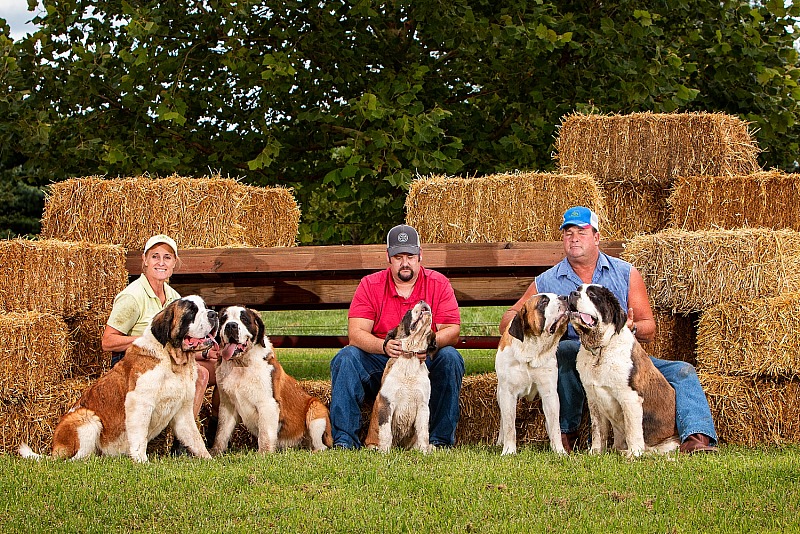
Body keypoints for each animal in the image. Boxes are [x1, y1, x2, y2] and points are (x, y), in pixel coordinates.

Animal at [19, 298, 219, 464]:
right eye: (191, 311)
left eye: (204, 306)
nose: (214, 314)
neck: (173, 361)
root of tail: (54, 448)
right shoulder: (139, 402)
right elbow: (139, 436)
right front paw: (141, 461)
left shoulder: (183, 410)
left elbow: (194, 437)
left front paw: (209, 460)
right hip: (87, 418)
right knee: (74, 459)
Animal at [211, 308, 332, 454]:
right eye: (224, 319)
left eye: (244, 319)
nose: (231, 325)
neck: (241, 365)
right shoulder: (227, 405)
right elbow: (221, 433)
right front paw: (215, 452)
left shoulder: (267, 404)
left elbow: (265, 433)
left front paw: (264, 453)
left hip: (316, 411)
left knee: (322, 446)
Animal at [364, 300, 434, 454]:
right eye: (408, 312)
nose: (422, 301)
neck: (409, 356)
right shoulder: (386, 404)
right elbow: (386, 432)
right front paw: (385, 452)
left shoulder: (423, 406)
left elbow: (423, 432)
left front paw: (424, 452)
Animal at [496, 294, 572, 456]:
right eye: (543, 302)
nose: (564, 297)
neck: (533, 349)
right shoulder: (508, 393)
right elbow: (509, 425)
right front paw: (509, 451)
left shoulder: (550, 393)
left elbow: (555, 425)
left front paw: (559, 451)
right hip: (500, 394)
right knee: (503, 421)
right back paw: (500, 442)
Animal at [564, 286, 680, 458]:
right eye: (578, 289)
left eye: (592, 295)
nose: (573, 293)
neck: (600, 350)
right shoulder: (593, 399)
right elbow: (598, 430)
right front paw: (595, 452)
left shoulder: (630, 398)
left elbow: (632, 430)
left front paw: (633, 454)